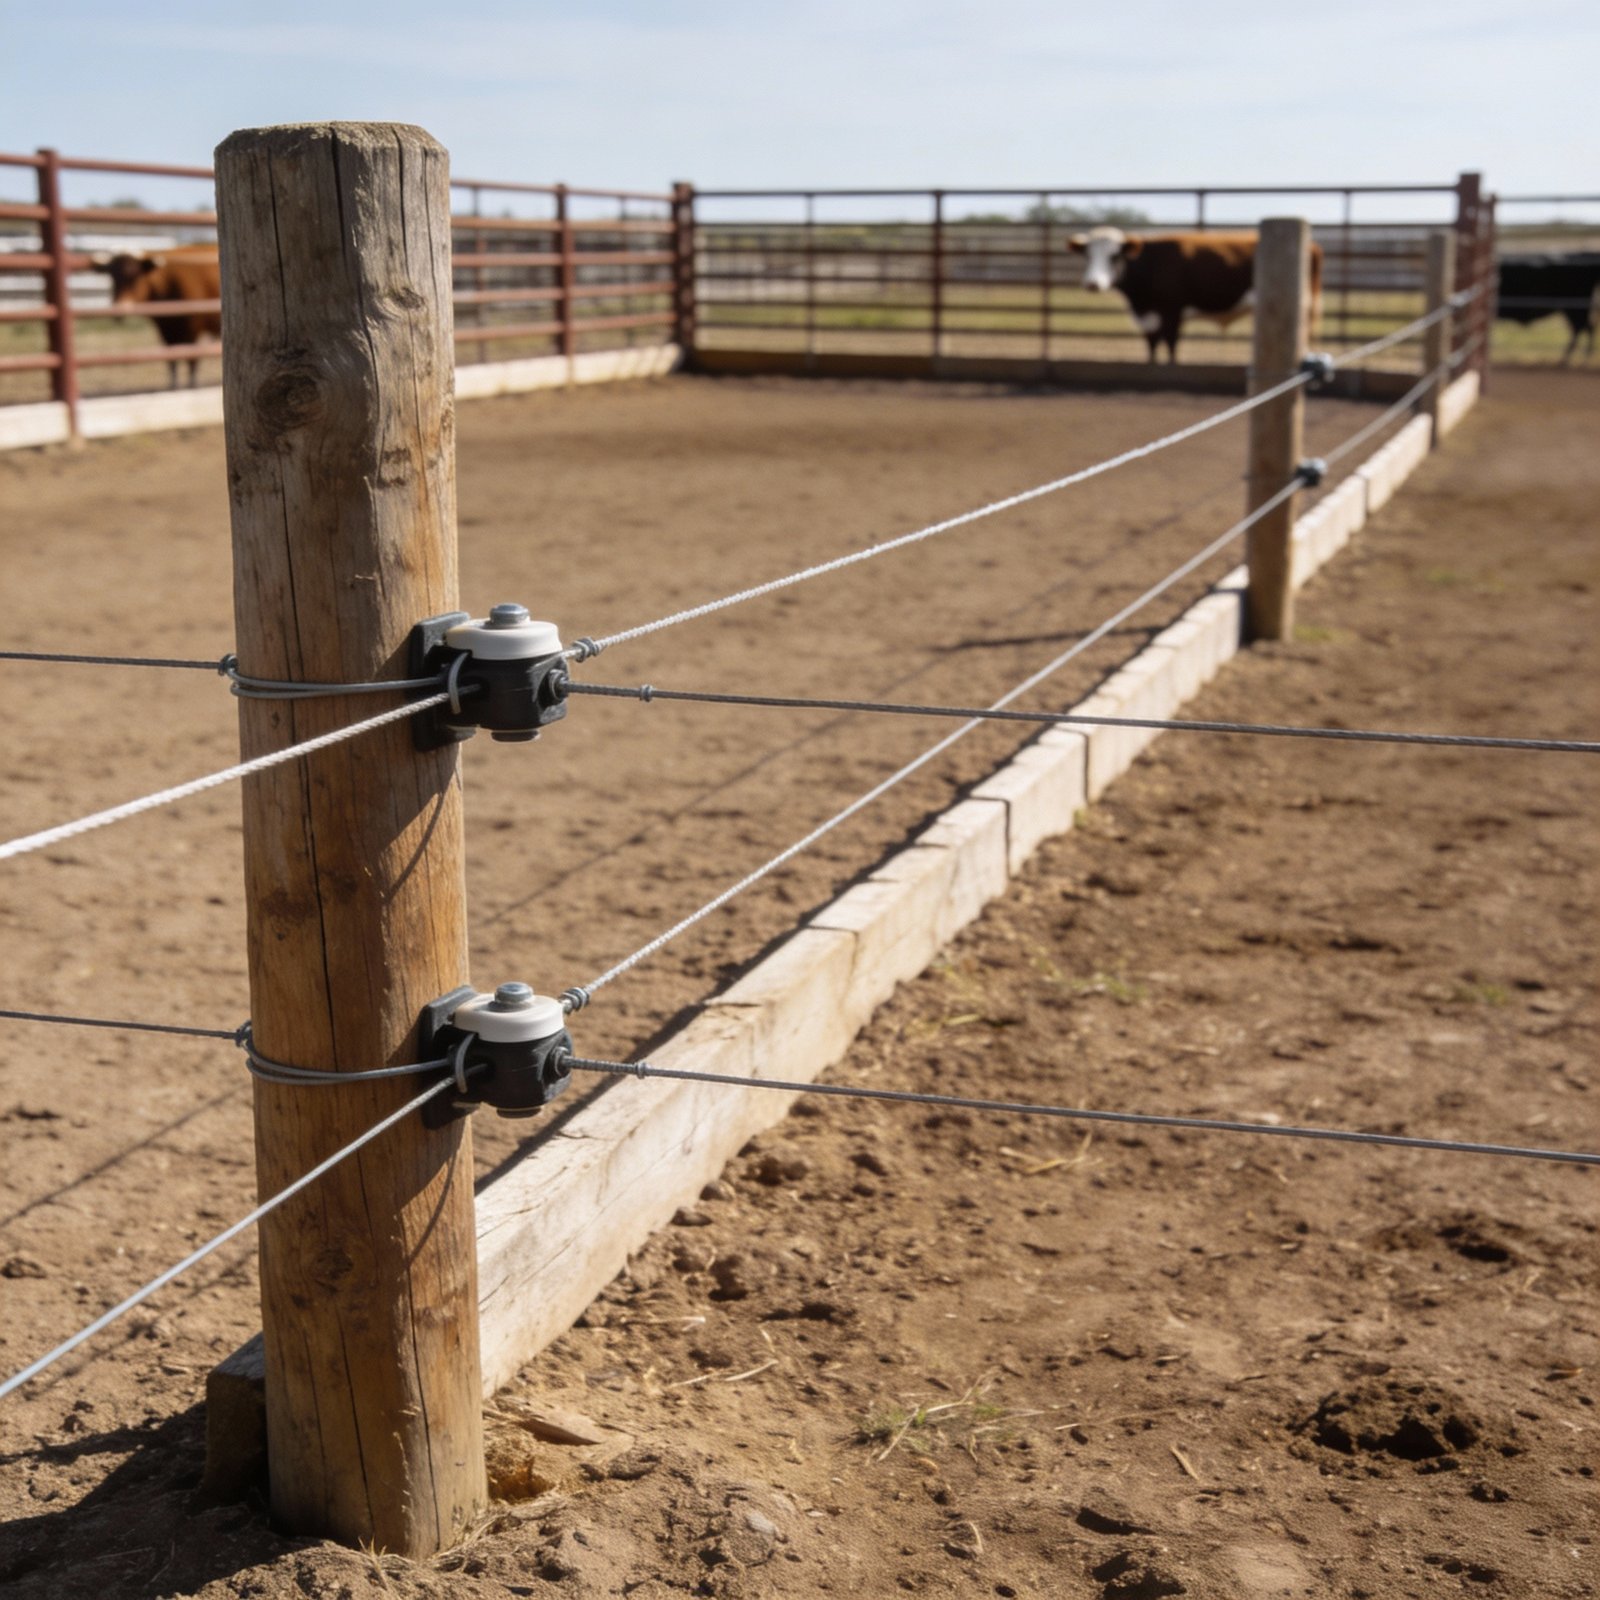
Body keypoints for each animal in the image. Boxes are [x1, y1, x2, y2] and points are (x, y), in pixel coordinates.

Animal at [89, 245, 221, 387]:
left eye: (134, 276)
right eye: (112, 277)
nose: (119, 310)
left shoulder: (193, 329)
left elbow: (192, 361)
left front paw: (192, 386)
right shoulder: (165, 330)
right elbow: (172, 362)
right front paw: (173, 386)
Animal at [1068, 227, 1323, 364]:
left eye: (1114, 256)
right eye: (1087, 256)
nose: (1093, 283)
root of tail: (1312, 246)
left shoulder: (1172, 310)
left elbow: (1171, 346)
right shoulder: (1148, 316)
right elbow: (1152, 346)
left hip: (1304, 308)